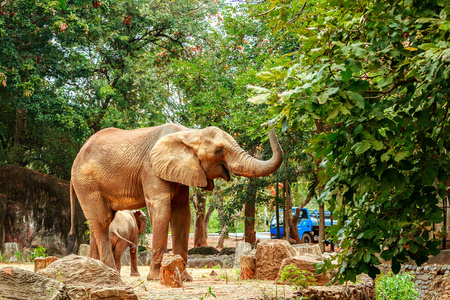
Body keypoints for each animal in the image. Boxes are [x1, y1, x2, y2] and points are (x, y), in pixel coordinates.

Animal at [70, 122, 282, 282]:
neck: (190, 133)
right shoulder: (151, 169)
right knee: (102, 221)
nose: (270, 124)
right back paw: (109, 272)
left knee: (98, 223)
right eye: (219, 150)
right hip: (87, 183)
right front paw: (156, 278)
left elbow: (182, 215)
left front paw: (185, 277)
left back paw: (97, 271)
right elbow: (162, 210)